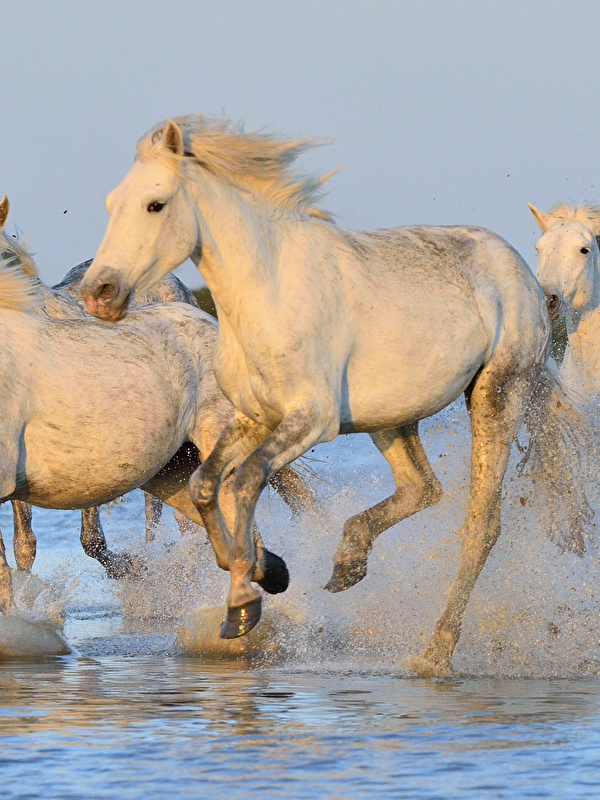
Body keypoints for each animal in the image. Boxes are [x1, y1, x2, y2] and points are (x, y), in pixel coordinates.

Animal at [82, 114, 552, 676]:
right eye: (111, 203)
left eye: (156, 204)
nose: (99, 293)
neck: (267, 293)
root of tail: (521, 269)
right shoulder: (254, 417)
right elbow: (204, 484)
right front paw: (264, 574)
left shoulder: (310, 420)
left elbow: (246, 482)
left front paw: (245, 604)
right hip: (390, 419)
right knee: (422, 488)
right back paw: (348, 563)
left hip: (499, 394)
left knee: (481, 525)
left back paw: (435, 651)